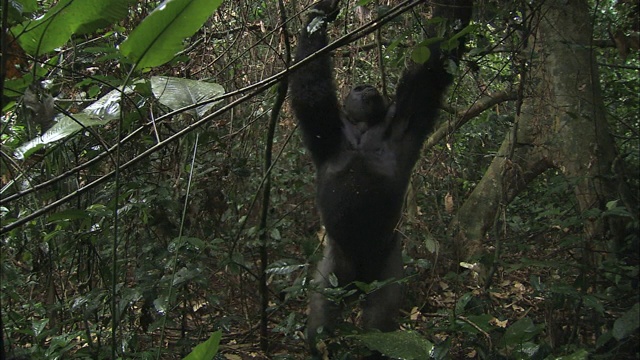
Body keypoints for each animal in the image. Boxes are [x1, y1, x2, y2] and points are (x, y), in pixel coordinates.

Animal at [290, 0, 476, 354]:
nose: (364, 86)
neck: (364, 130)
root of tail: (359, 281)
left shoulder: (405, 117)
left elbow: (434, 59)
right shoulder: (327, 127)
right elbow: (310, 86)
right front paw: (321, 14)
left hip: (386, 270)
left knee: (379, 322)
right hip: (334, 271)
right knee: (321, 317)